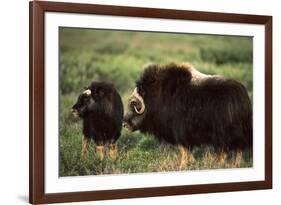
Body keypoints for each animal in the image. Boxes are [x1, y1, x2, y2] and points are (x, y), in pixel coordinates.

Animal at [122, 62, 252, 168]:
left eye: (134, 104)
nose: (124, 123)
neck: (158, 96)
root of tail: (242, 96)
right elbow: (186, 150)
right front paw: (190, 162)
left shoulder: (180, 131)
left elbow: (183, 149)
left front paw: (183, 165)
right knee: (237, 149)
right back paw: (234, 164)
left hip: (225, 133)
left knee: (228, 149)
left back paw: (219, 164)